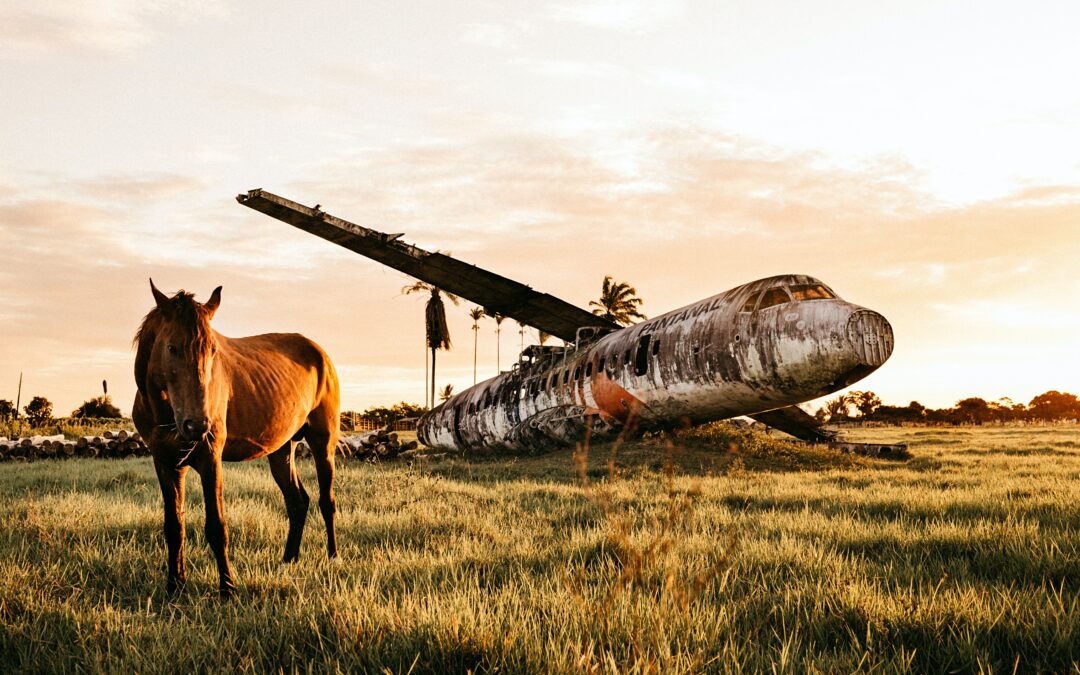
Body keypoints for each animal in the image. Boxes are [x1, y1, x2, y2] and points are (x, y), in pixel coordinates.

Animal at [133, 280, 340, 597]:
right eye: (171, 348)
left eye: (213, 350)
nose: (197, 425)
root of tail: (320, 354)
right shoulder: (166, 462)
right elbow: (174, 526)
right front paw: (175, 587)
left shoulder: (210, 458)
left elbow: (216, 527)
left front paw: (228, 589)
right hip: (282, 450)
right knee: (297, 501)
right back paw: (288, 561)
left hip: (323, 443)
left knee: (326, 501)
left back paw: (333, 558)